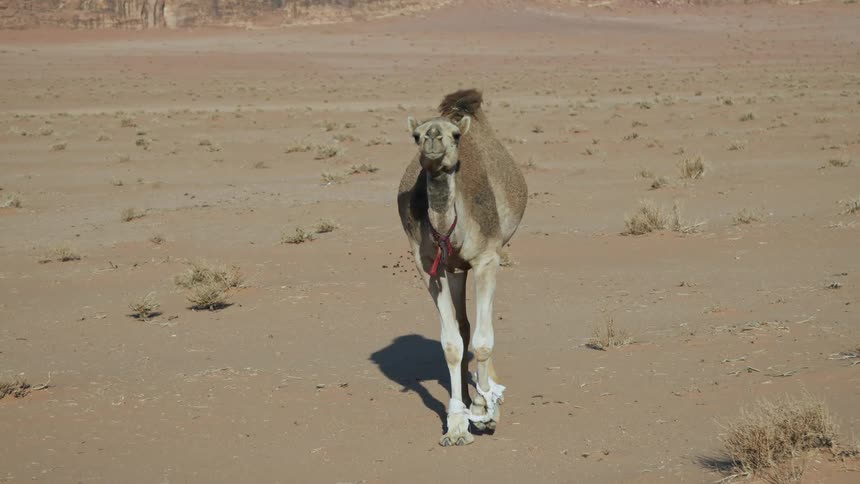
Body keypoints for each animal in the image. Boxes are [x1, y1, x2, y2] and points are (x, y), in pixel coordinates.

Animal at [397, 89, 528, 446]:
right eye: (416, 135)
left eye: (455, 135)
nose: (432, 137)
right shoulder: (430, 267)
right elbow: (453, 343)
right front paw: (457, 422)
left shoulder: (486, 259)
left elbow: (483, 341)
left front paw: (484, 410)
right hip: (456, 270)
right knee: (465, 325)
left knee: (482, 328)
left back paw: (490, 392)